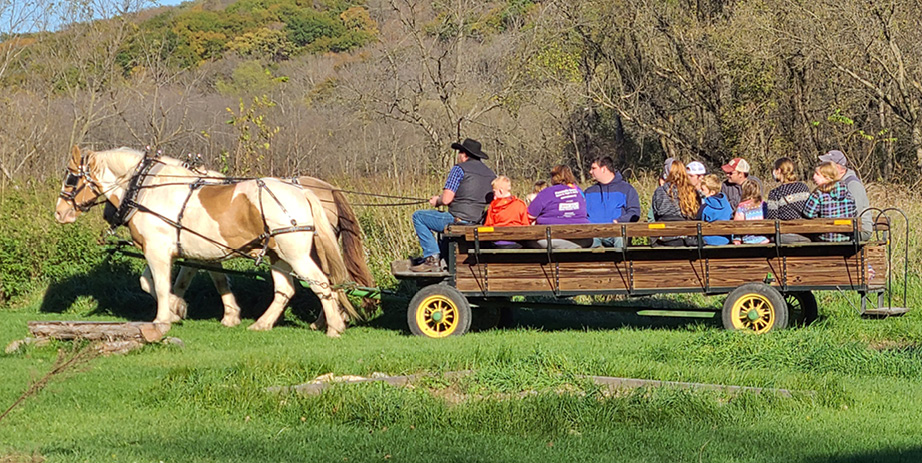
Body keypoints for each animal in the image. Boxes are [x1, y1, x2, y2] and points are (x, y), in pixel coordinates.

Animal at [54, 147, 356, 336]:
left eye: (71, 178)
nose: (59, 212)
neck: (146, 190)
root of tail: (302, 191)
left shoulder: (158, 251)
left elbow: (161, 284)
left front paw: (164, 318)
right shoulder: (181, 252)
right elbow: (156, 282)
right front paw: (181, 308)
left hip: (296, 254)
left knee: (322, 283)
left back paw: (333, 326)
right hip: (278, 254)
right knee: (285, 290)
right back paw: (262, 324)